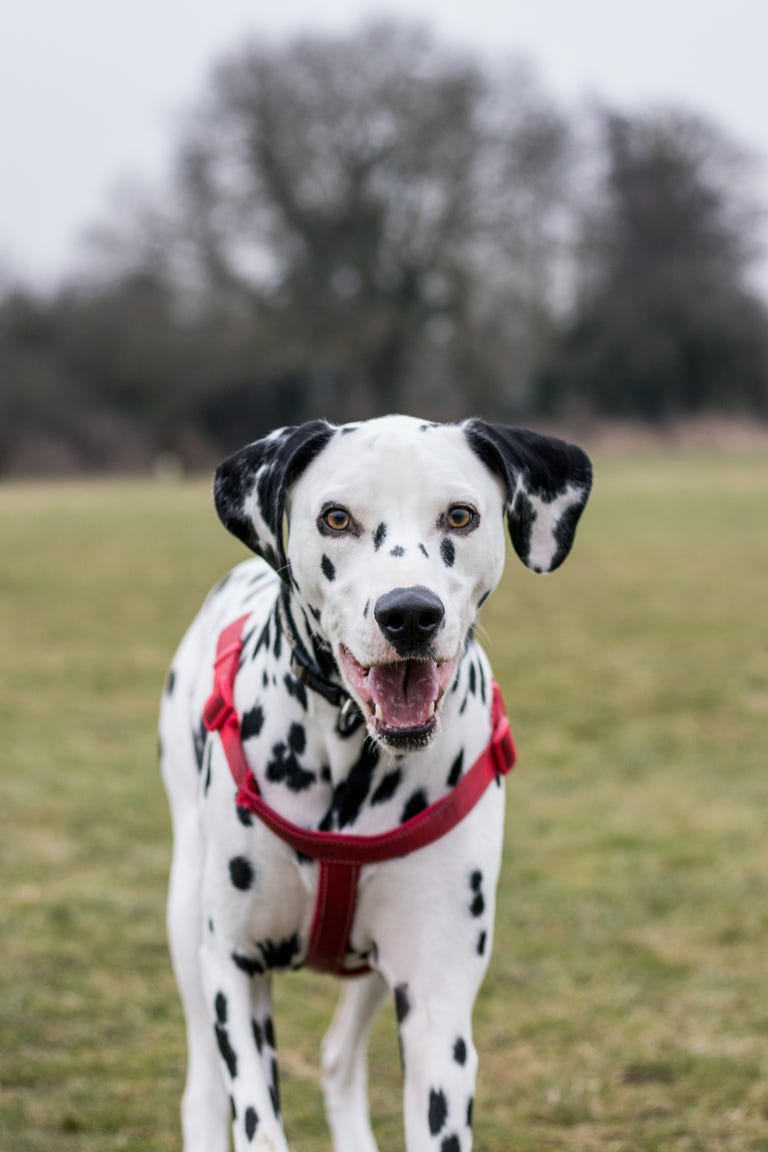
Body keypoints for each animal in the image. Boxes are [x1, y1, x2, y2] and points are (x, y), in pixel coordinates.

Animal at [161, 417, 594, 1152]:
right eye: (336, 517)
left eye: (460, 515)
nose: (410, 613)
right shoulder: (236, 969)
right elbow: (256, 1123)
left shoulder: (436, 1001)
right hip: (188, 917)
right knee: (202, 1094)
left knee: (338, 1056)